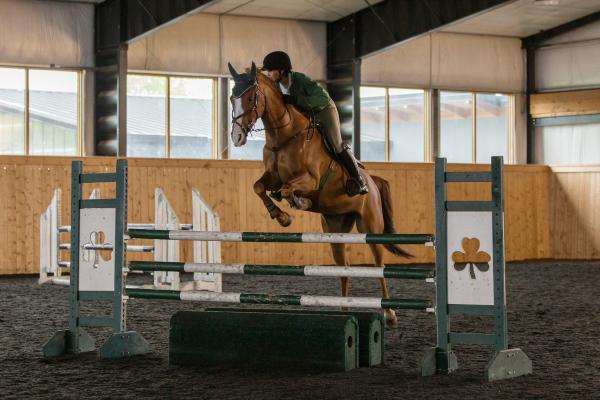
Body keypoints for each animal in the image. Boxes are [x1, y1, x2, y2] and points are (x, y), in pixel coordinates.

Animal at [227, 61, 410, 324]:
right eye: (232, 98)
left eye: (251, 98)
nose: (237, 137)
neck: (284, 136)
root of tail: (374, 183)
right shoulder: (271, 176)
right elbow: (259, 187)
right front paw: (281, 216)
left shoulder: (310, 180)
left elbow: (287, 189)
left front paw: (296, 205)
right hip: (336, 228)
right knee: (344, 268)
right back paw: (344, 310)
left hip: (371, 227)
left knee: (378, 266)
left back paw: (389, 313)